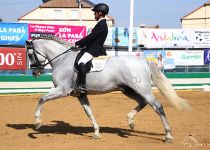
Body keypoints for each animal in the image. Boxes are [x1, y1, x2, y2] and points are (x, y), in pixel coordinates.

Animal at [25, 34, 190, 142]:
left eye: (30, 54)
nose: (35, 72)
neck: (62, 59)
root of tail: (143, 60)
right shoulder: (80, 95)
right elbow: (89, 113)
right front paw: (97, 133)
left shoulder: (63, 90)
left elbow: (41, 99)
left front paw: (37, 123)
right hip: (128, 89)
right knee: (143, 102)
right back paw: (130, 121)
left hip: (142, 89)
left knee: (157, 106)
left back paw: (168, 135)